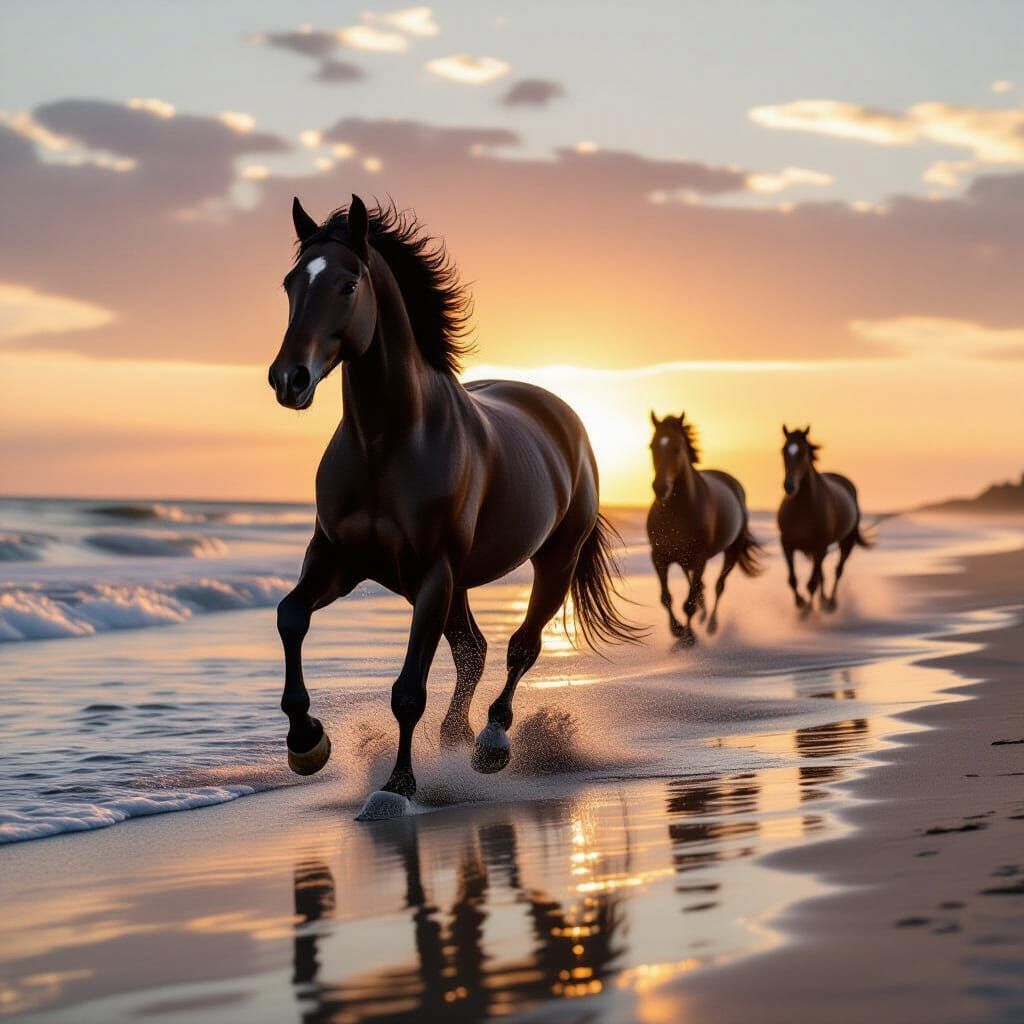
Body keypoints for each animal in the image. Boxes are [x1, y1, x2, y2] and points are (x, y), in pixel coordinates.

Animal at [267, 194, 640, 818]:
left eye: (348, 284)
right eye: (291, 282)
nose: (288, 379)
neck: (386, 443)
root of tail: (563, 415)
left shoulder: (431, 575)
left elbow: (407, 691)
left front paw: (396, 787)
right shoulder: (337, 560)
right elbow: (290, 617)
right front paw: (307, 743)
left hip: (552, 562)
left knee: (520, 647)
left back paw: (490, 743)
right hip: (458, 583)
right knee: (474, 651)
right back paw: (455, 738)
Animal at [646, 412, 761, 643]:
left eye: (676, 448)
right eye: (652, 446)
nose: (660, 487)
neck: (675, 512)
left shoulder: (700, 558)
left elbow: (689, 603)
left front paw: (688, 637)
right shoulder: (659, 556)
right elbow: (666, 597)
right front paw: (677, 630)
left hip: (731, 553)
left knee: (718, 586)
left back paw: (711, 625)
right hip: (684, 560)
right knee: (699, 587)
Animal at [777, 425, 871, 613]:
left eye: (803, 452)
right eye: (783, 451)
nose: (789, 486)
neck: (802, 509)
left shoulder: (819, 547)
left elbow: (811, 583)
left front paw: (807, 610)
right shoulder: (787, 544)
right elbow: (793, 579)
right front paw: (800, 602)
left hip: (846, 543)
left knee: (837, 571)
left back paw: (830, 602)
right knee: (822, 575)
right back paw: (822, 601)